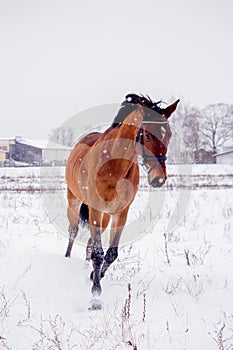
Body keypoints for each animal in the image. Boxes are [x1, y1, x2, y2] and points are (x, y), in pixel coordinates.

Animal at [64, 93, 179, 308]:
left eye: (168, 135)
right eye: (148, 136)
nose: (159, 179)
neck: (113, 165)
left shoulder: (120, 213)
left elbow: (110, 253)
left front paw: (94, 277)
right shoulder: (95, 209)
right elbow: (99, 253)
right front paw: (95, 297)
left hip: (105, 216)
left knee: (90, 240)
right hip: (74, 202)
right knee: (73, 231)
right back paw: (66, 260)